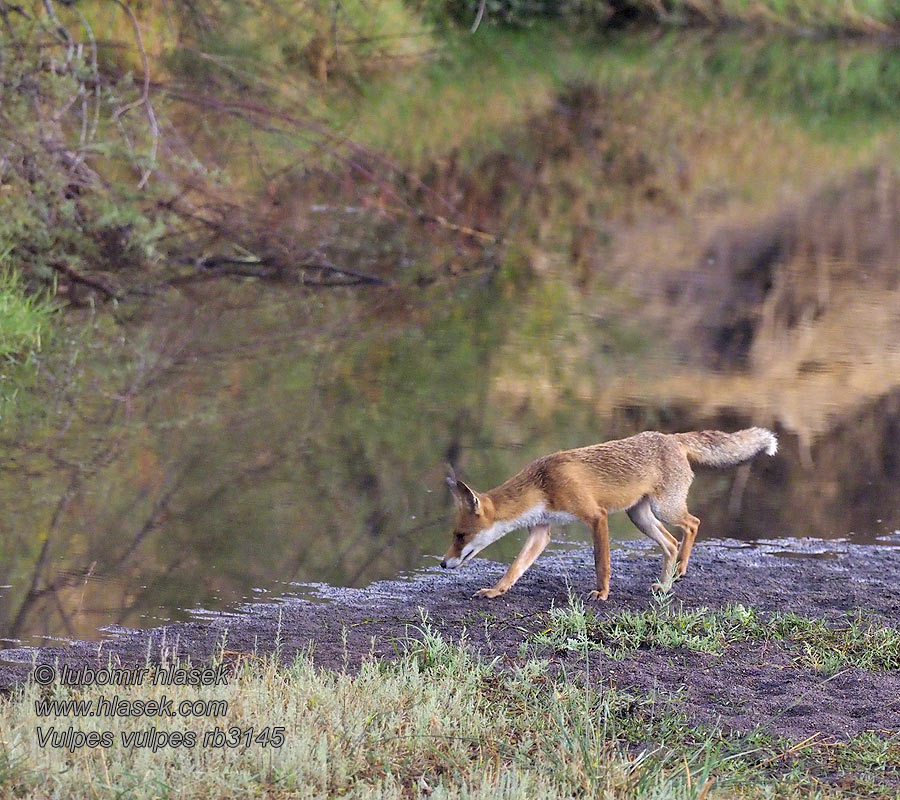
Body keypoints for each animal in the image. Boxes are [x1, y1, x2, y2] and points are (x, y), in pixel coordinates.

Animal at [440, 428, 776, 596]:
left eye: (460, 536)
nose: (442, 563)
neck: (542, 485)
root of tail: (671, 437)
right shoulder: (541, 531)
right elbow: (514, 568)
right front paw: (496, 591)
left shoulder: (595, 516)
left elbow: (601, 563)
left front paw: (602, 593)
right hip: (640, 517)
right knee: (670, 542)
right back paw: (665, 584)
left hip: (665, 509)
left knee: (692, 524)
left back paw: (680, 569)